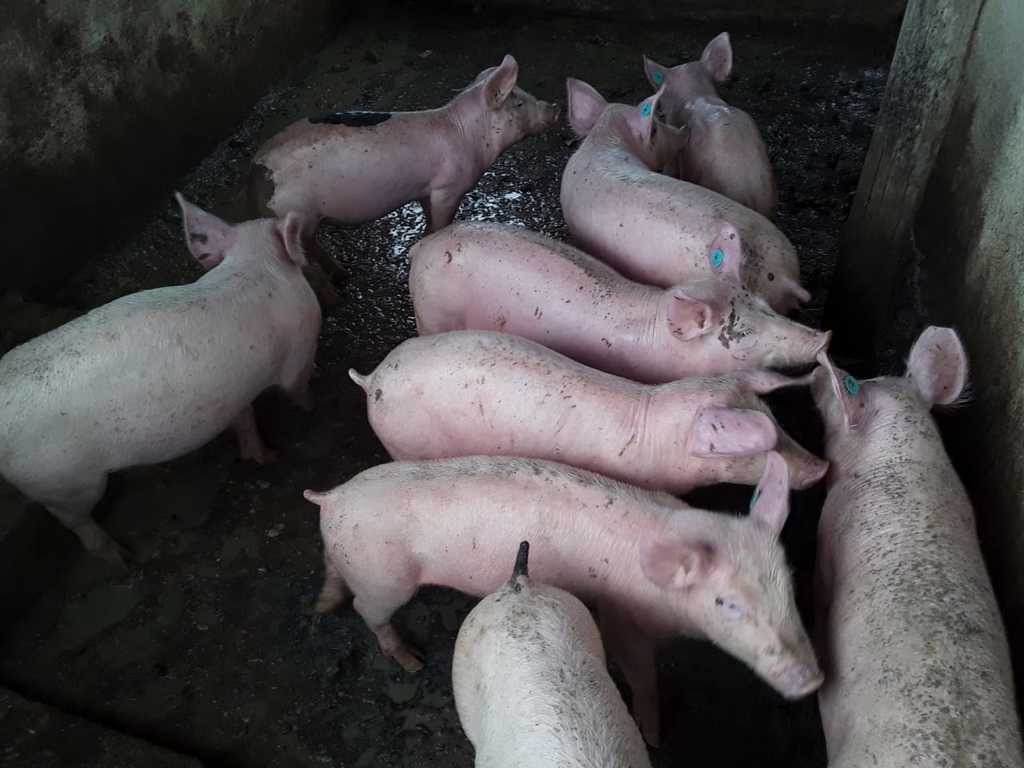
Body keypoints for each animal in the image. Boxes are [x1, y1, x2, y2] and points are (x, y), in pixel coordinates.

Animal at [0, 195, 321, 565]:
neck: (253, 263)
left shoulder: (232, 394)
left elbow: (245, 418)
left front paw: (264, 457)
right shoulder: (300, 350)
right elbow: (297, 387)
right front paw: (310, 410)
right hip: (65, 481)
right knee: (74, 521)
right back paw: (122, 557)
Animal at [249, 55, 559, 285]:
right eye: (518, 103)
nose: (554, 107)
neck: (465, 134)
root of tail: (256, 173)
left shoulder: (426, 189)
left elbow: (427, 214)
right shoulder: (447, 188)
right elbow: (442, 220)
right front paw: (431, 238)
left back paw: (343, 275)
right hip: (297, 210)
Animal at [306, 452, 823, 745]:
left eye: (790, 587)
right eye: (728, 603)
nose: (813, 680)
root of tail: (331, 497)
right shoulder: (621, 616)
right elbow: (642, 675)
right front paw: (654, 736)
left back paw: (323, 606)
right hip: (383, 577)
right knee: (366, 610)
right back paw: (410, 661)